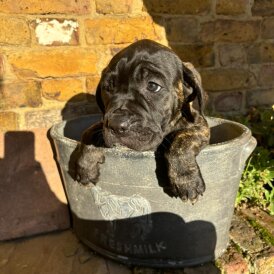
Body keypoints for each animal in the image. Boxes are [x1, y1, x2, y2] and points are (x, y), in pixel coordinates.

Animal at [75, 40, 210, 203]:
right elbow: (88, 132)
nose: (116, 124)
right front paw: (85, 166)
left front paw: (186, 179)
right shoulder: (103, 123)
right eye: (108, 87)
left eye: (153, 86)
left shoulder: (200, 125)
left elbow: (182, 140)